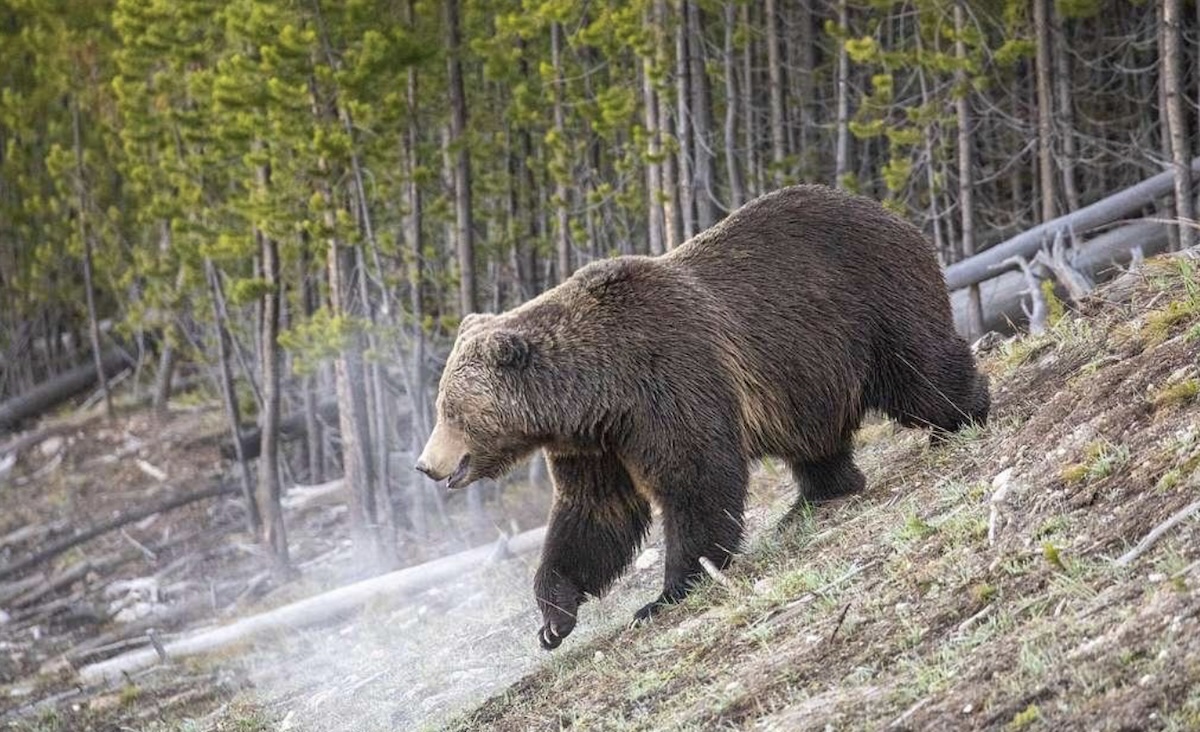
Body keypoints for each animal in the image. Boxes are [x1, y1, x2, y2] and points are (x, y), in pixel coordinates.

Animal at [415, 184, 989, 650]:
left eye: (450, 410)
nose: (426, 465)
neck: (595, 390)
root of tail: (892, 214)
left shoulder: (667, 380)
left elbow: (695, 478)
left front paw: (667, 593)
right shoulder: (596, 442)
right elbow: (594, 513)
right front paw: (554, 616)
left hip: (868, 302)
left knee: (918, 369)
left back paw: (964, 415)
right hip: (806, 373)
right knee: (814, 437)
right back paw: (814, 496)